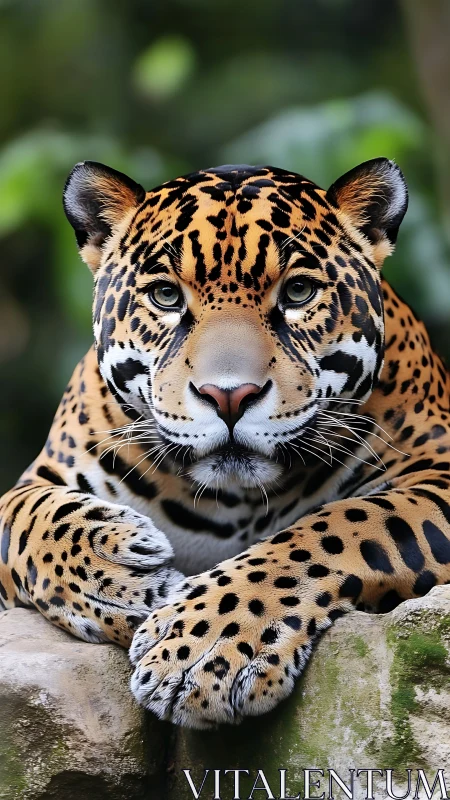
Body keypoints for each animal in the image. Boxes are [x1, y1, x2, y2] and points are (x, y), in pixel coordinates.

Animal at [1, 157, 450, 730]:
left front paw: (203, 648)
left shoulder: (437, 468)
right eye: (166, 296)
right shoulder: (42, 476)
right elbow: (30, 522)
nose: (229, 396)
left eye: (298, 293)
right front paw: (123, 581)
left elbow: (339, 528)